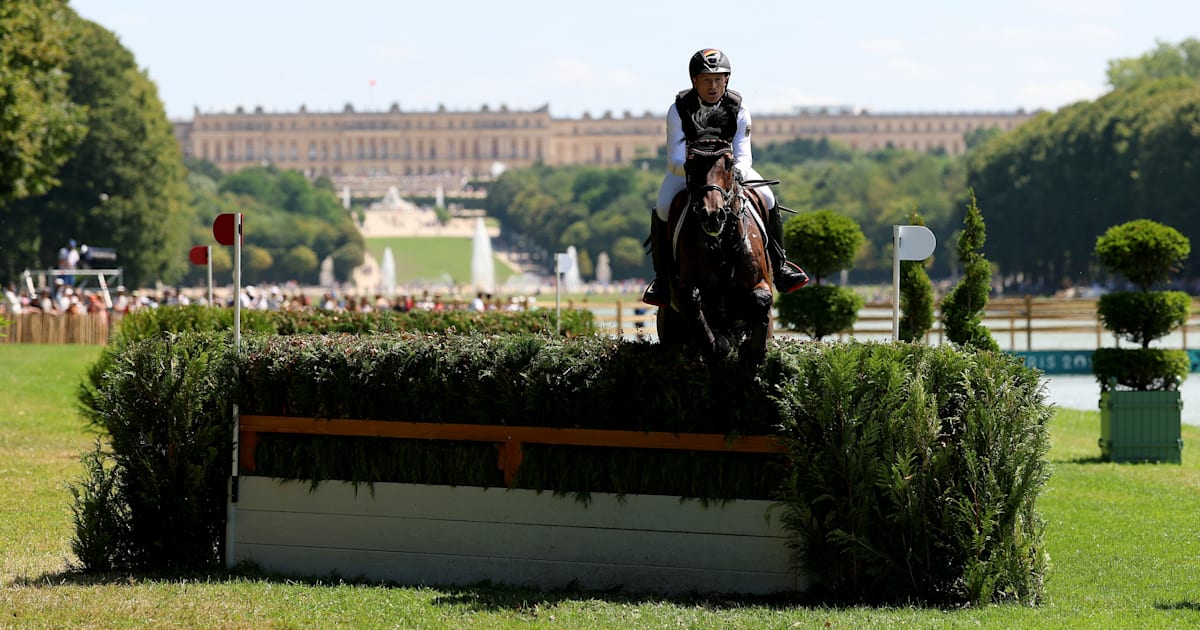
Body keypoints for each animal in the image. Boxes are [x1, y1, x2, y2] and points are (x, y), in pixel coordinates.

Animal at [662, 127, 772, 360]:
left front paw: (752, 351)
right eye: (690, 164)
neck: (722, 244)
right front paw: (717, 344)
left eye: (729, 163)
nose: (712, 215)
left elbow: (761, 298)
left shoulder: (761, 281)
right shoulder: (687, 287)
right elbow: (692, 299)